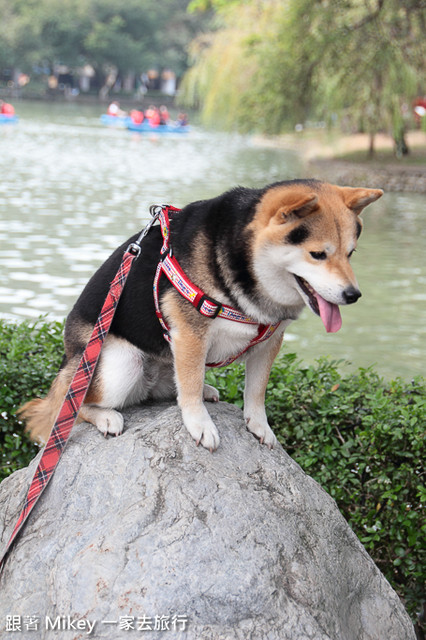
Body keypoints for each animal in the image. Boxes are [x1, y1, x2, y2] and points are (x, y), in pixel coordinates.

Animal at [20, 179, 384, 450]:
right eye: (318, 254)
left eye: (351, 253)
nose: (353, 295)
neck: (245, 264)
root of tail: (68, 361)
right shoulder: (191, 331)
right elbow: (191, 386)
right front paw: (200, 424)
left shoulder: (271, 340)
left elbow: (256, 391)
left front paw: (259, 425)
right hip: (119, 364)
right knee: (68, 407)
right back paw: (104, 416)